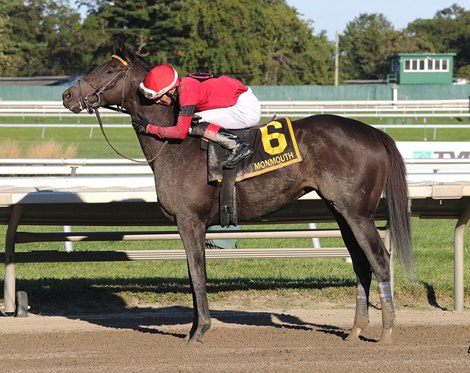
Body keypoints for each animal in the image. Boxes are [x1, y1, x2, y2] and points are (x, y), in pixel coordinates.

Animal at [62, 42, 412, 342]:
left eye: (108, 70)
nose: (67, 95)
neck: (175, 145)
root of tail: (376, 133)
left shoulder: (190, 221)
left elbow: (197, 274)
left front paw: (200, 332)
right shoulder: (192, 224)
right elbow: (193, 274)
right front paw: (193, 329)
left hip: (358, 213)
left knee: (379, 260)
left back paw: (387, 331)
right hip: (341, 211)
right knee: (361, 264)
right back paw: (355, 330)